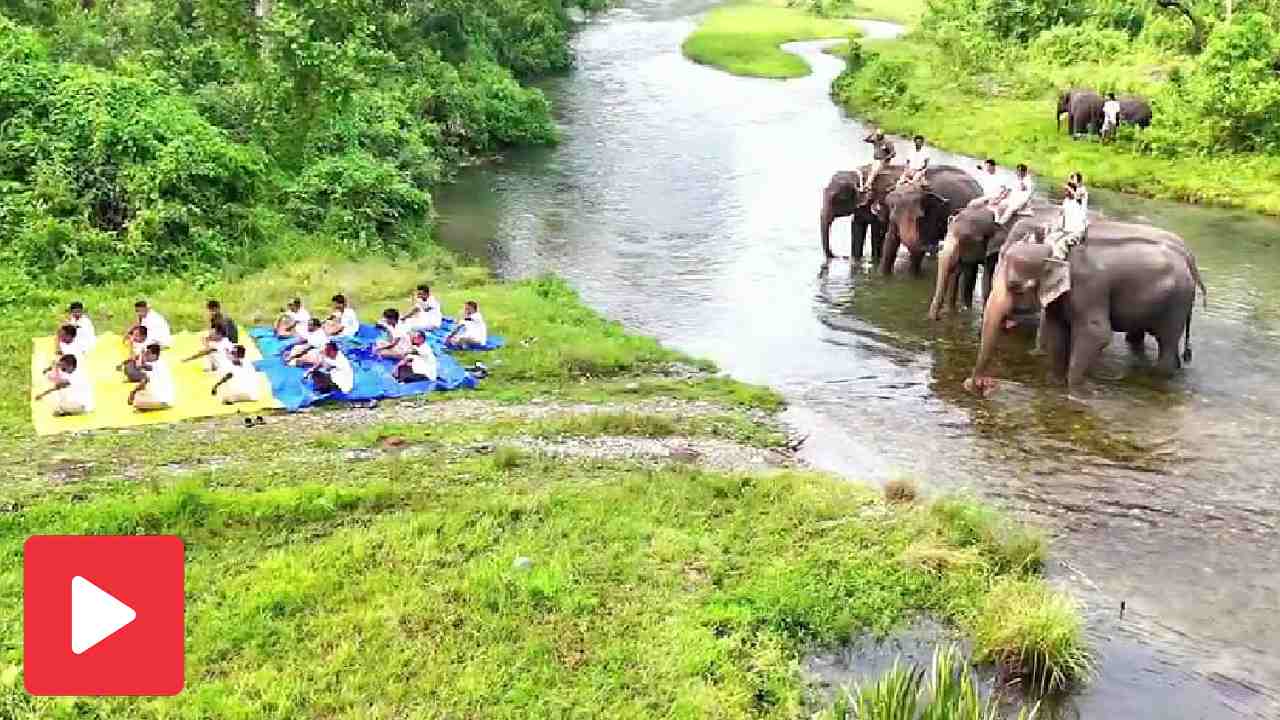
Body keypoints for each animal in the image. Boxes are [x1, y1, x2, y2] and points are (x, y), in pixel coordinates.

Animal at [928, 203, 1058, 320]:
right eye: (947, 231)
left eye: (966, 238)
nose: (937, 318)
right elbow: (968, 276)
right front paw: (963, 310)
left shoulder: (997, 249)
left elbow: (986, 279)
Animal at [966, 223, 1207, 397]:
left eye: (1015, 286)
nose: (976, 384)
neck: (1057, 250)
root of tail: (1190, 263)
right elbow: (1056, 332)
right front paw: (1055, 384)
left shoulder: (1089, 288)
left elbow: (1097, 334)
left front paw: (1076, 392)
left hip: (1177, 302)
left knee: (1166, 344)